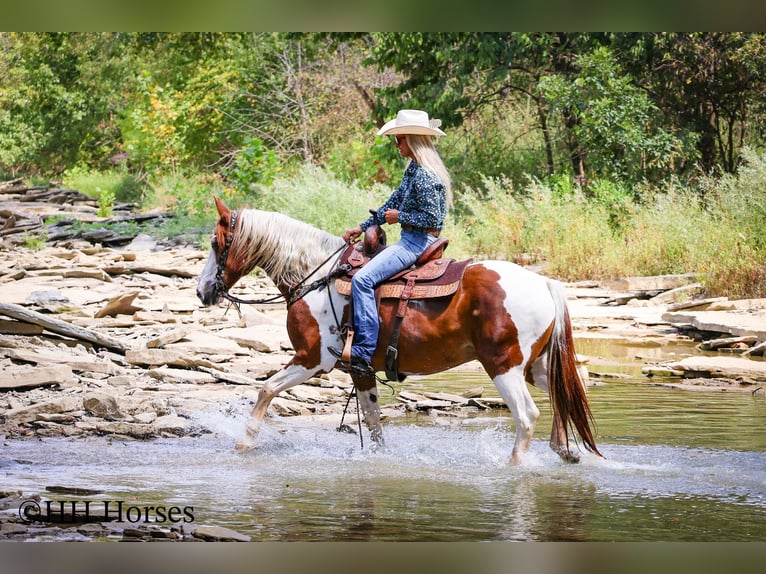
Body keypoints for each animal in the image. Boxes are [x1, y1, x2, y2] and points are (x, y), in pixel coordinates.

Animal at [196, 197, 602, 464]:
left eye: (216, 243)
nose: (202, 292)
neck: (315, 276)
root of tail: (544, 282)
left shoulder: (312, 359)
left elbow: (266, 389)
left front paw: (244, 445)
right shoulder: (359, 369)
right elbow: (373, 421)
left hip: (504, 366)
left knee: (527, 416)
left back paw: (515, 467)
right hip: (536, 366)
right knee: (568, 389)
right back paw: (565, 451)